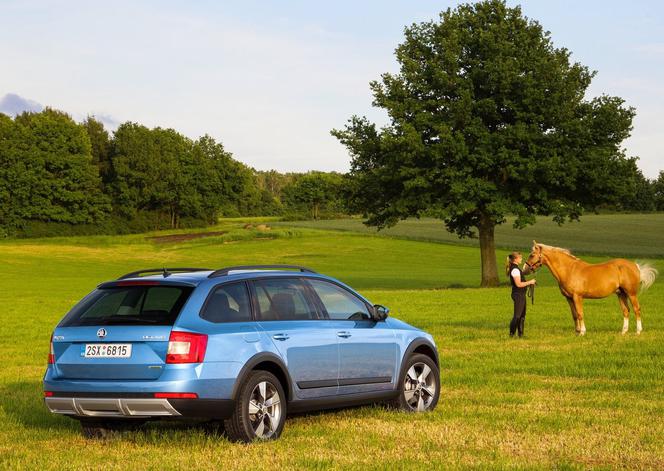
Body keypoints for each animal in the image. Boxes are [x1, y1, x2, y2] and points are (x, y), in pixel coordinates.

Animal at [524, 242, 660, 338]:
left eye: (532, 255)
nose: (525, 269)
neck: (569, 270)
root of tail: (635, 266)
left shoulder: (577, 297)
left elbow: (580, 313)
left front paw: (582, 332)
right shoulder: (569, 298)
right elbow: (574, 315)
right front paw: (577, 332)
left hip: (631, 294)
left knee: (637, 310)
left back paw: (638, 331)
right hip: (621, 294)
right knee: (626, 311)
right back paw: (623, 332)